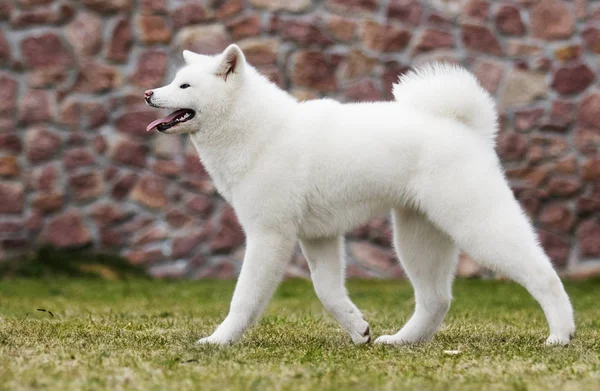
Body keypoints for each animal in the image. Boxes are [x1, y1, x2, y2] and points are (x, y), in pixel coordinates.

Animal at [145, 44, 576, 348]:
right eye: (174, 80)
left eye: (184, 86)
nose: (148, 92)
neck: (258, 131)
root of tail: (466, 126)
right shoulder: (318, 237)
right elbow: (328, 291)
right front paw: (358, 330)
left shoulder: (269, 234)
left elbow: (244, 297)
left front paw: (218, 340)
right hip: (416, 237)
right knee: (436, 299)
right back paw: (402, 341)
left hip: (477, 225)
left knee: (544, 274)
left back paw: (560, 335)